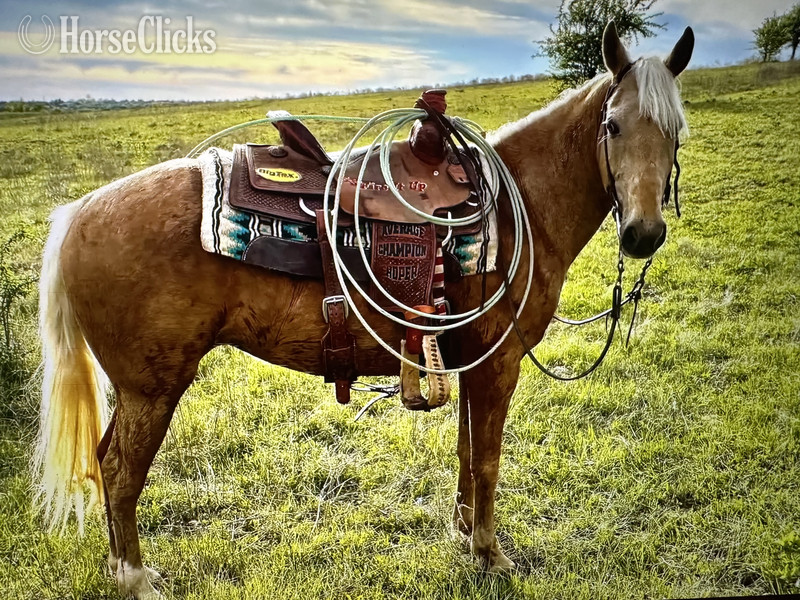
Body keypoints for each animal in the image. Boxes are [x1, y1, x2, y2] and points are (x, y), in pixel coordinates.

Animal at [34, 23, 693, 599]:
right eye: (612, 125)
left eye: (675, 131)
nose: (642, 234)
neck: (520, 207)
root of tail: (80, 212)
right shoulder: (497, 365)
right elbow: (487, 461)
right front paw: (490, 553)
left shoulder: (466, 362)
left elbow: (466, 451)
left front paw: (463, 531)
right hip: (153, 389)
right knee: (121, 472)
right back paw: (134, 577)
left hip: (136, 391)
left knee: (103, 463)